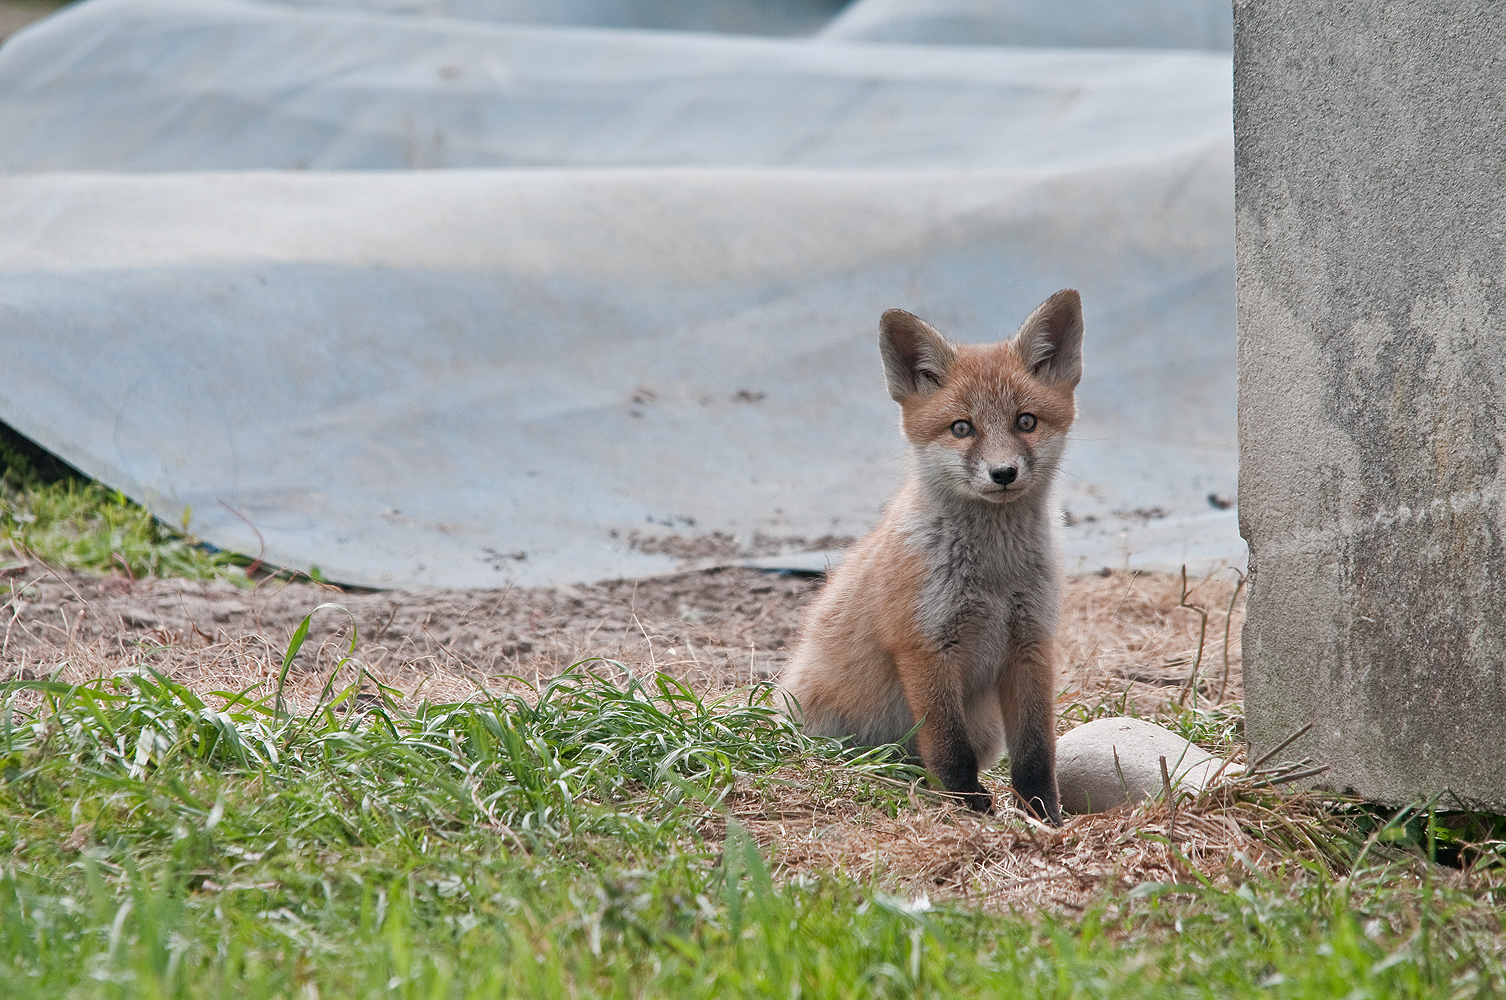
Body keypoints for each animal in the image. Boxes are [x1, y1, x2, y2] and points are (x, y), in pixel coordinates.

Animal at [783, 287, 1078, 819]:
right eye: (962, 428)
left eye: (1025, 422)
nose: (1003, 473)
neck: (995, 574)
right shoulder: (924, 645)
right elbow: (948, 746)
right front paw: (971, 808)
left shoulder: (1031, 644)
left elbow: (1036, 751)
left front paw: (1045, 815)